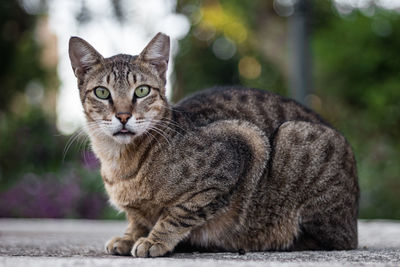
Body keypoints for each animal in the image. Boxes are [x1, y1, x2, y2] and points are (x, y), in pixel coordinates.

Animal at [69, 32, 360, 258]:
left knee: (328, 240)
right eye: (102, 92)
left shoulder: (240, 147)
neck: (120, 162)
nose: (123, 115)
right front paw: (130, 236)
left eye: (141, 91)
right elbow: (137, 218)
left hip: (295, 138)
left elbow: (179, 212)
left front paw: (155, 239)